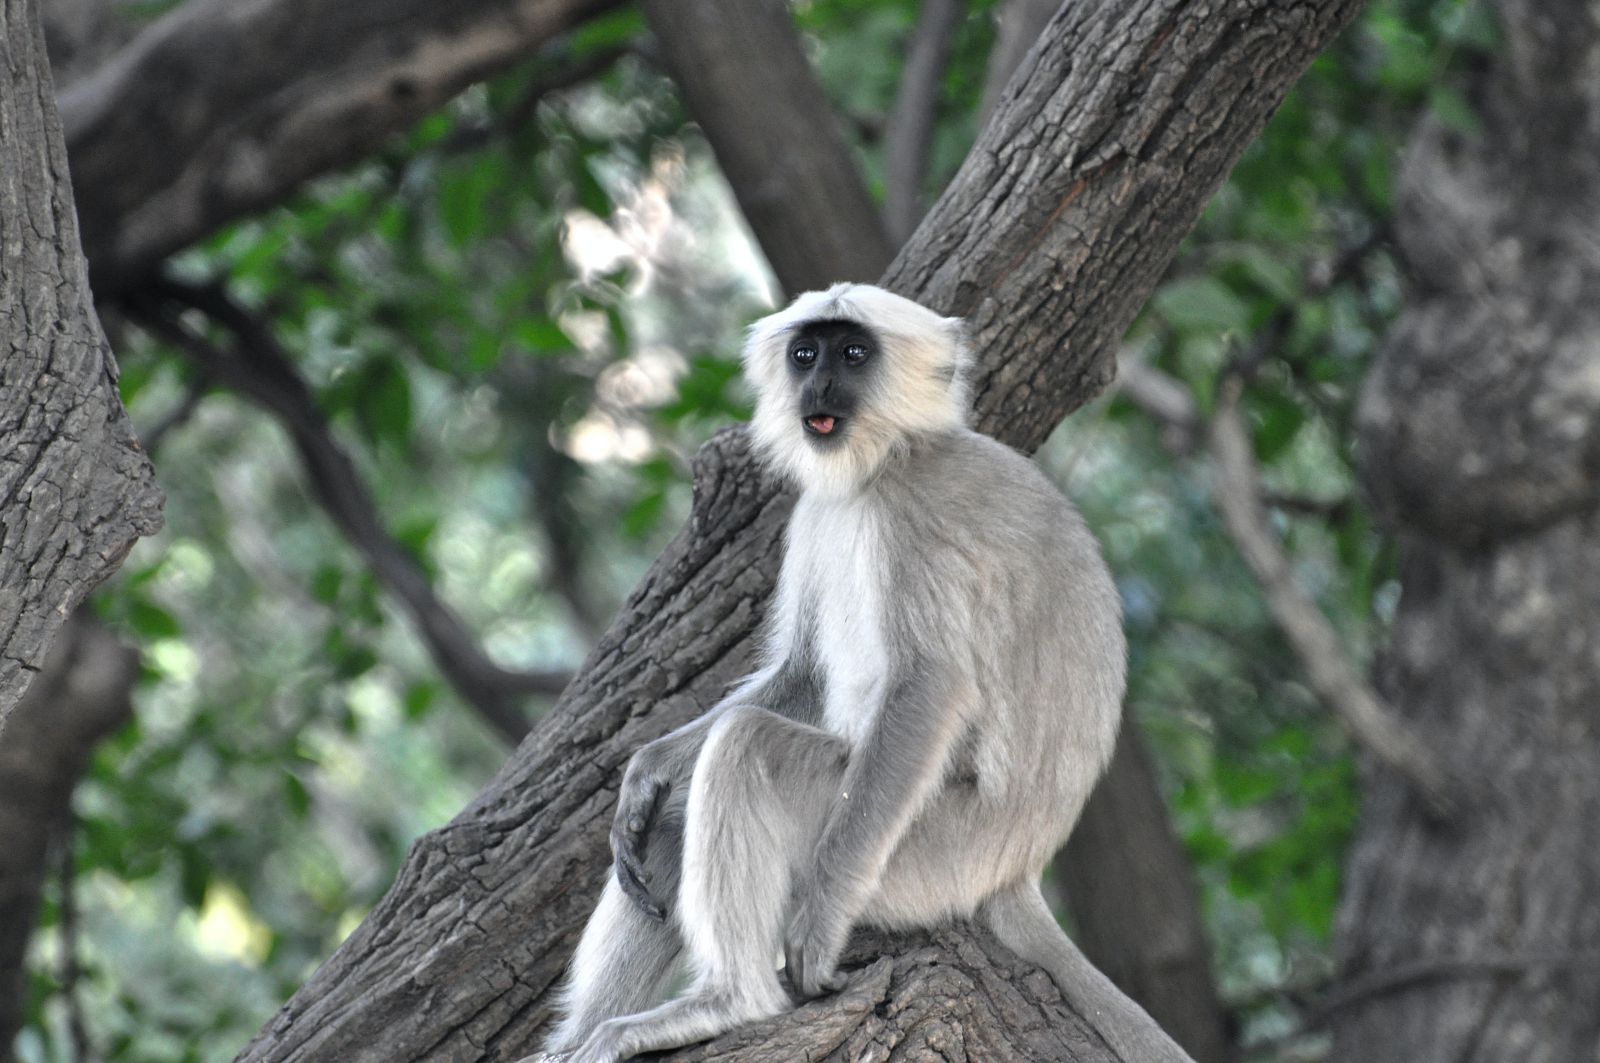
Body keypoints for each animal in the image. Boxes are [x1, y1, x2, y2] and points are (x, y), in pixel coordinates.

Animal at [537, 284, 1190, 1063]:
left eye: (852, 353)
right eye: (804, 353)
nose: (818, 386)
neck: (890, 458)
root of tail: (1016, 869)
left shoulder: (914, 517)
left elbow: (929, 687)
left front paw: (814, 935)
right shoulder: (818, 511)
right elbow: (805, 675)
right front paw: (649, 768)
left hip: (925, 853)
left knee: (750, 744)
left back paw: (729, 1002)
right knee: (671, 820)